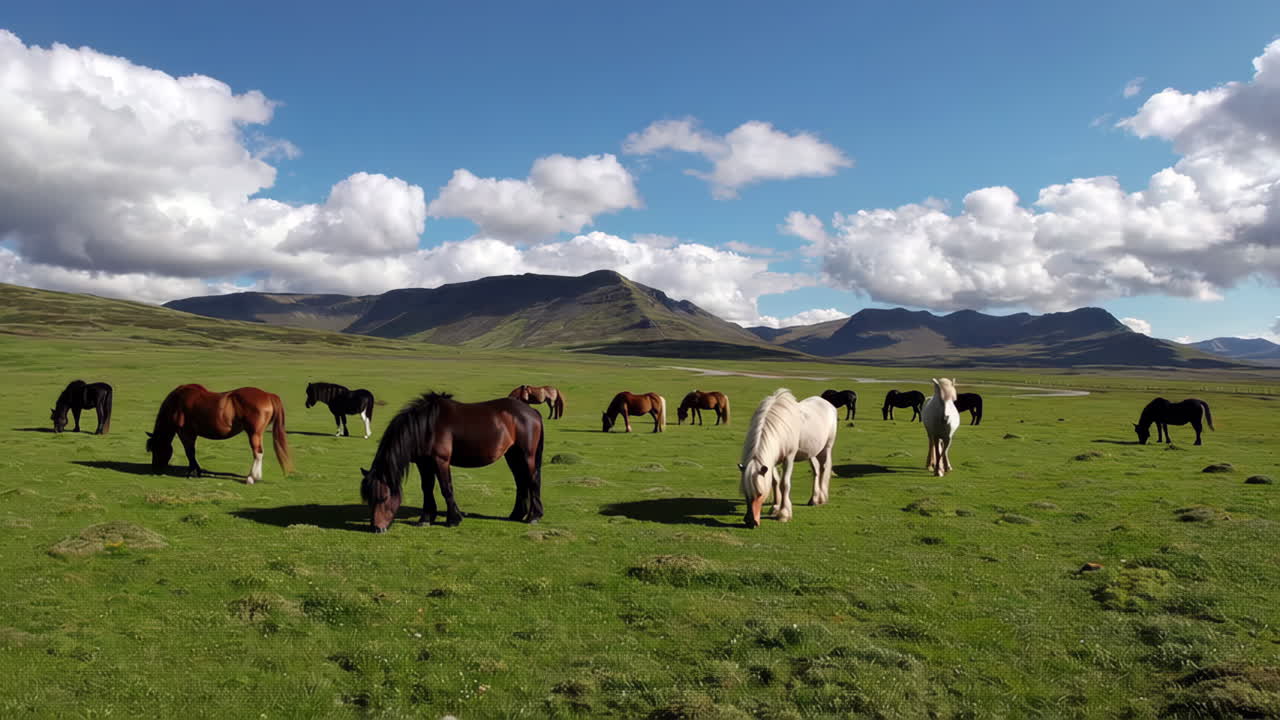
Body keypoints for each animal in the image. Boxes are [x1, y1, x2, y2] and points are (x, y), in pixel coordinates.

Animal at [146, 384, 292, 484]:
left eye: (156, 449)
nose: (155, 469)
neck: (177, 403)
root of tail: (268, 395)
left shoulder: (185, 433)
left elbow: (189, 452)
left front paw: (192, 471)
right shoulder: (192, 434)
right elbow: (191, 452)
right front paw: (197, 471)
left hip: (254, 433)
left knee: (258, 453)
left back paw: (251, 478)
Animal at [359, 392, 545, 533]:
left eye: (383, 497)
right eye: (369, 499)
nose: (376, 528)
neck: (426, 427)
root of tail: (532, 411)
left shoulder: (440, 460)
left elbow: (446, 488)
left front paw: (453, 519)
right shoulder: (423, 463)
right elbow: (427, 488)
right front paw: (426, 518)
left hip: (526, 455)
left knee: (532, 480)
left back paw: (533, 516)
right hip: (512, 455)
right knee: (521, 481)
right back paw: (517, 514)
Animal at [738, 389, 838, 528]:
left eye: (760, 494)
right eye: (745, 493)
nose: (750, 522)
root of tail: (828, 404)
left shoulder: (789, 458)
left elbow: (784, 484)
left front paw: (784, 514)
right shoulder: (772, 461)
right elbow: (775, 481)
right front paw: (775, 507)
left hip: (826, 448)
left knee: (823, 469)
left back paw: (821, 499)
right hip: (811, 452)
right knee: (816, 471)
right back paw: (813, 499)